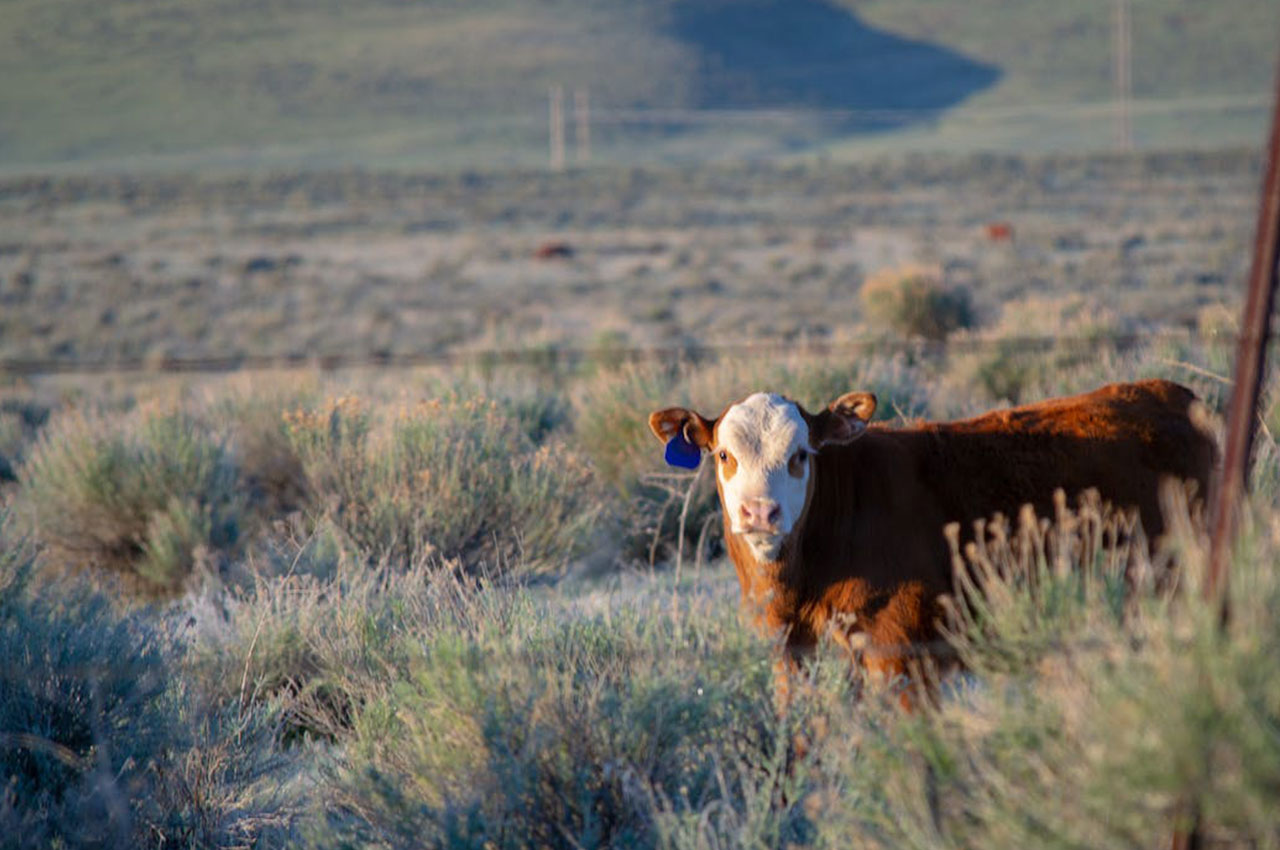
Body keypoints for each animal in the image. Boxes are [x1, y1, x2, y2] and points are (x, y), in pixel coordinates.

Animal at [650, 381, 1218, 696]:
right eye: (724, 455)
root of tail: (1169, 392)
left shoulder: (903, 658)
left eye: (800, 455)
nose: (759, 512)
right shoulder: (793, 654)